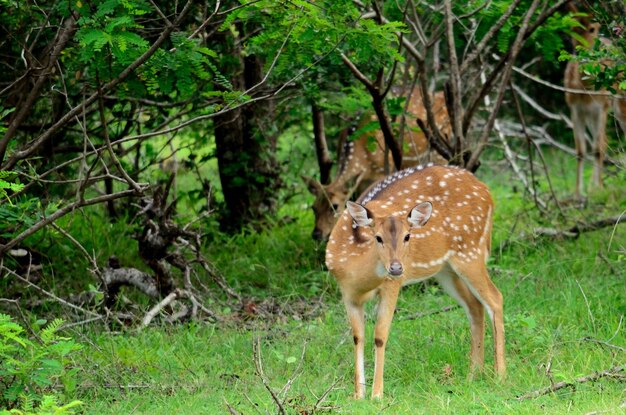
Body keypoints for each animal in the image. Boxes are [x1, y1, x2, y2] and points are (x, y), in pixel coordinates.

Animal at [326, 163, 502, 400]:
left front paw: (377, 394)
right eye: (378, 237)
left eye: (407, 236)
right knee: (475, 305)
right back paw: (474, 374)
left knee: (495, 298)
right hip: (446, 269)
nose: (397, 268)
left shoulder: (391, 285)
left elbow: (380, 335)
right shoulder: (347, 293)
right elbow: (357, 336)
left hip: (470, 250)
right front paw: (358, 395)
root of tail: (487, 192)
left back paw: (500, 376)